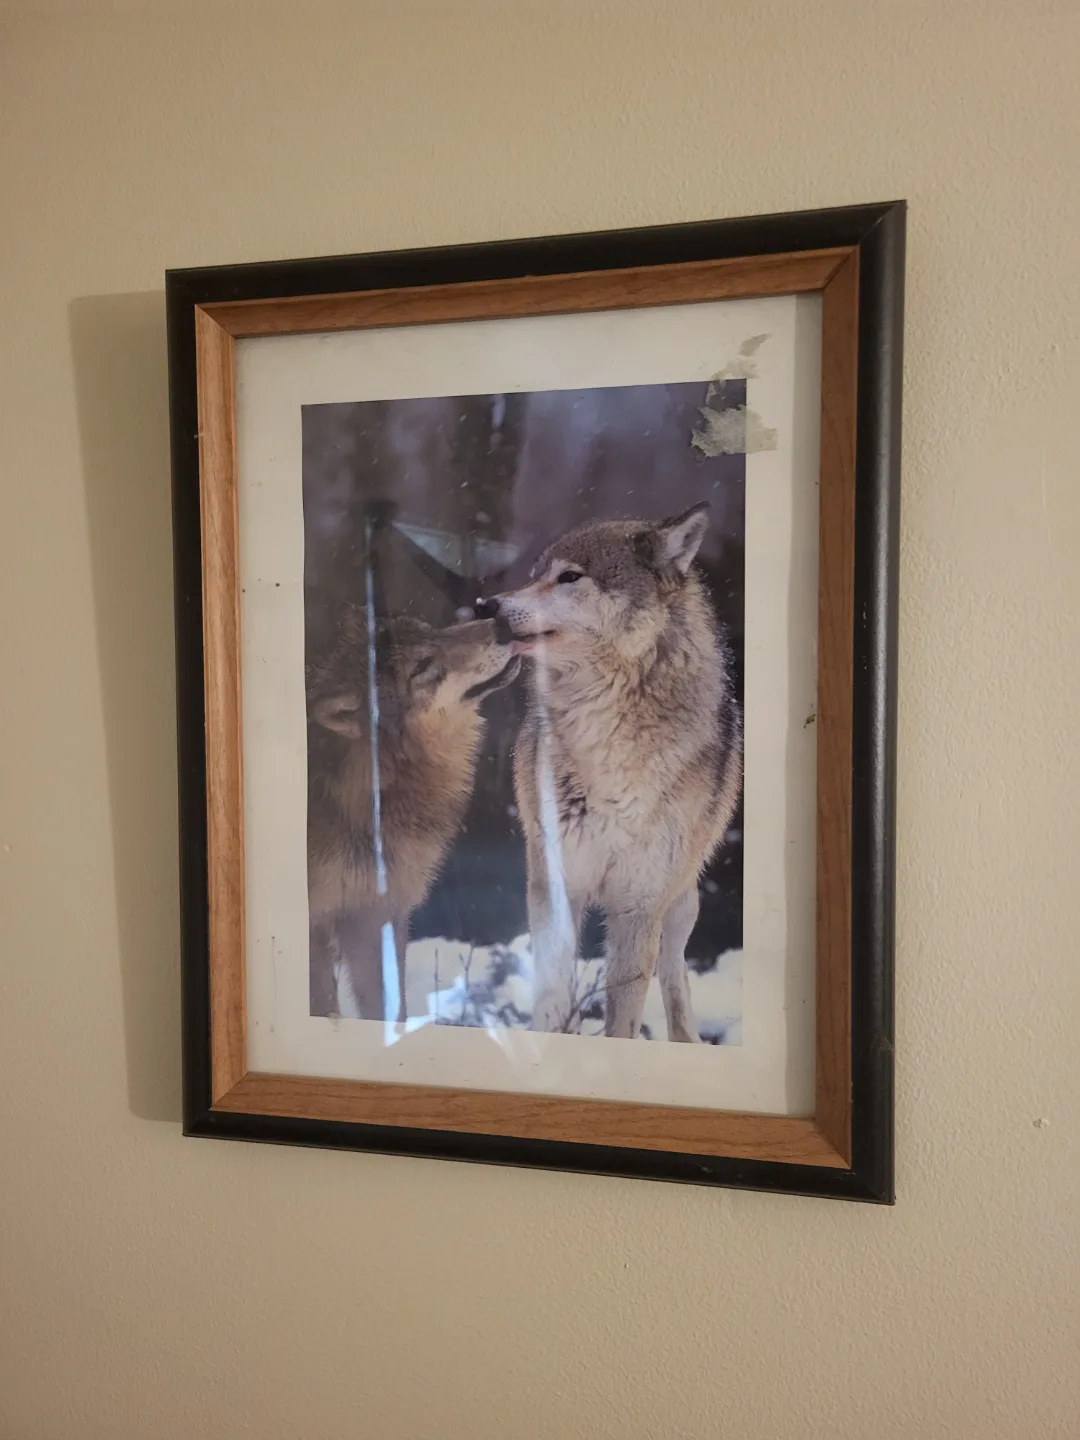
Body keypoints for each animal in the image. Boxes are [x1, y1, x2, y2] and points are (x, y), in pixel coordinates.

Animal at [306, 611, 519, 1022]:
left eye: (432, 631)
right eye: (421, 667)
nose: (501, 620)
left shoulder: (376, 915)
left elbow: (391, 1011)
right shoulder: (316, 923)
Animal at [490, 503, 742, 1043]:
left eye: (569, 577)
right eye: (535, 575)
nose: (486, 605)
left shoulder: (640, 901)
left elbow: (624, 1012)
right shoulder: (555, 882)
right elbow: (551, 996)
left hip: (682, 900)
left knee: (674, 971)